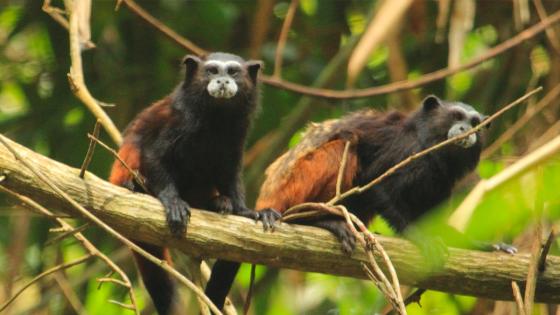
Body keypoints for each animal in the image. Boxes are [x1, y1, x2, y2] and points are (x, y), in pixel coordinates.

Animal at [109, 52, 280, 315]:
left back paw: (218, 204)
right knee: (135, 144)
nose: (222, 81)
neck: (215, 117)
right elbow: (154, 153)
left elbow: (230, 173)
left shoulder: (237, 134)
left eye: (233, 72)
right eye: (212, 71)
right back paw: (136, 185)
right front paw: (172, 202)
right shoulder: (178, 120)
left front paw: (245, 210)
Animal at [206, 94, 516, 312]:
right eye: (455, 116)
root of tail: (268, 197)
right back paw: (320, 219)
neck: (431, 148)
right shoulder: (406, 151)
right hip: (294, 186)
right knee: (347, 143)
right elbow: (376, 182)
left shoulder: (442, 182)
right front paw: (417, 237)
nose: (466, 129)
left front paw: (486, 246)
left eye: (476, 123)